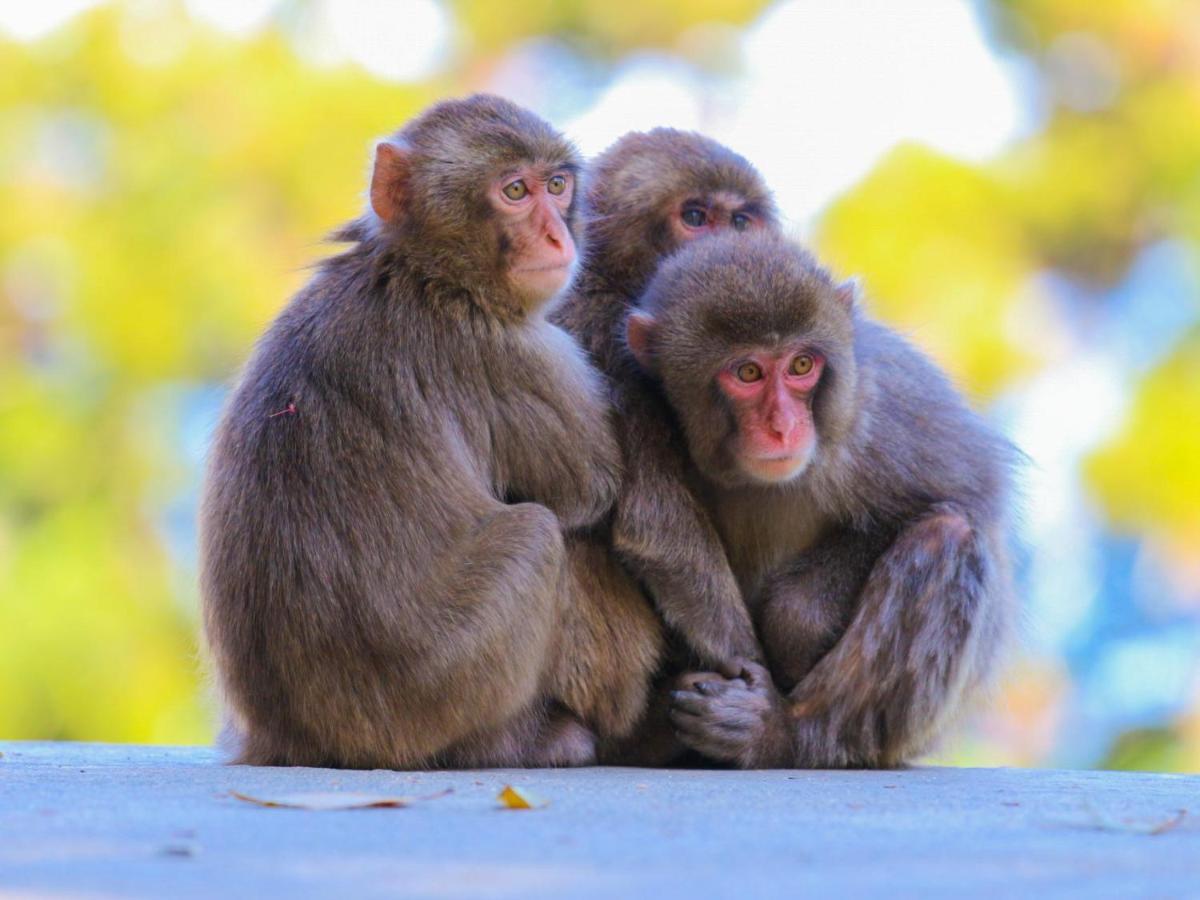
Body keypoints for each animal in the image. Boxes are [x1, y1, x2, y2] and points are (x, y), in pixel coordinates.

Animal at [200, 93, 662, 777]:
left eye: (557, 185)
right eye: (515, 191)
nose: (558, 236)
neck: (424, 271)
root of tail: (296, 739)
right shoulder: (516, 355)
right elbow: (594, 493)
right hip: (436, 691)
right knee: (542, 532)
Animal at [624, 232, 1017, 768]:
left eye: (801, 366)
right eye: (748, 372)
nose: (783, 425)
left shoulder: (879, 408)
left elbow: (972, 493)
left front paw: (795, 621)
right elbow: (658, 537)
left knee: (947, 536)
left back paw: (786, 736)